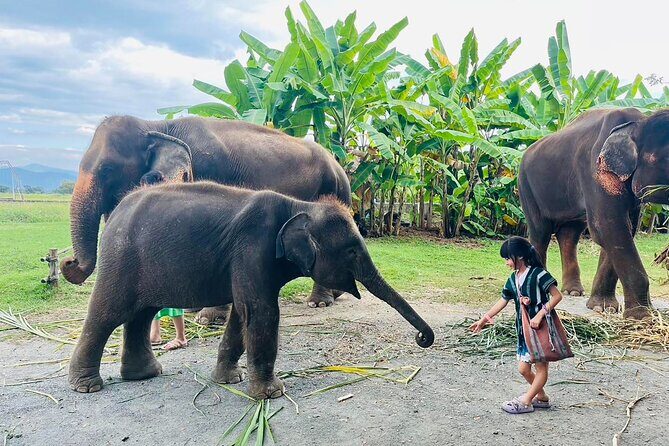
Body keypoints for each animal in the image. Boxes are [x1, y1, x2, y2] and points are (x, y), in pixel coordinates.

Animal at [60, 115, 352, 311]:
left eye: (107, 169)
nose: (68, 261)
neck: (158, 125)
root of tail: (339, 163)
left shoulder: (211, 172)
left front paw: (208, 317)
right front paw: (193, 308)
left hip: (331, 189)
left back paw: (318, 303)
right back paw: (336, 294)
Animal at [67, 181, 435, 399]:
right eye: (352, 251)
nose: (421, 338)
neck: (298, 205)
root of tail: (116, 210)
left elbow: (241, 316)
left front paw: (230, 381)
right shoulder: (252, 248)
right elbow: (261, 312)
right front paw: (271, 393)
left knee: (140, 314)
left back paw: (145, 375)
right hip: (120, 259)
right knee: (108, 314)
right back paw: (87, 386)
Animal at [519, 108, 669, 319]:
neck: (639, 122)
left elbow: (623, 229)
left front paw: (603, 308)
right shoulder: (594, 170)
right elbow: (606, 227)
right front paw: (643, 316)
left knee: (570, 234)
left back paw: (573, 291)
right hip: (526, 185)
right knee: (540, 232)